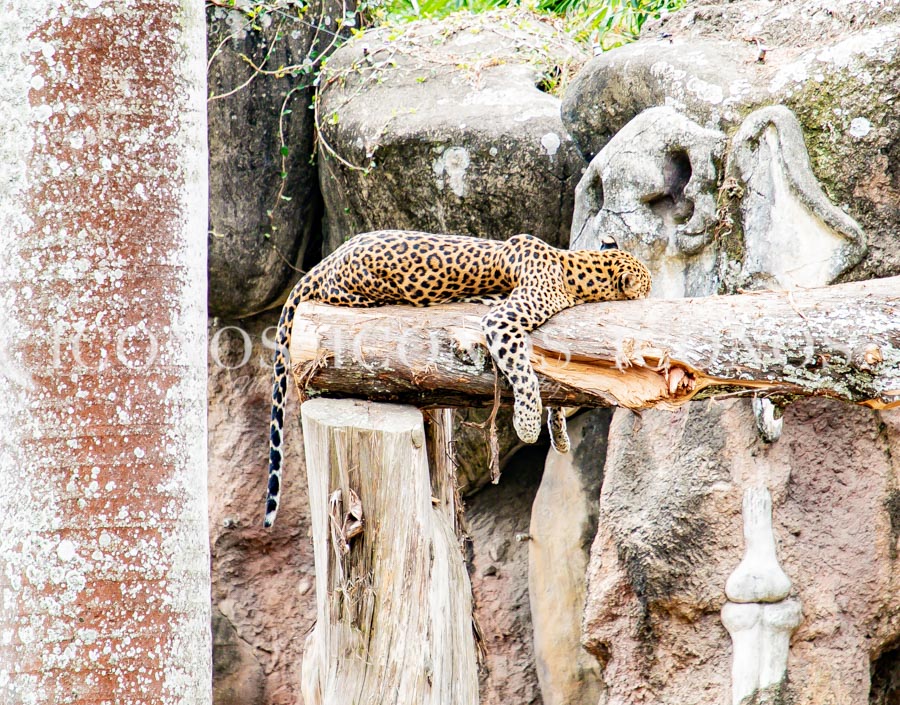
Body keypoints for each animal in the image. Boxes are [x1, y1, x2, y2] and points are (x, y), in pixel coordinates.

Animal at [264, 230, 651, 527]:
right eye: (646, 286)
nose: (651, 294)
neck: (575, 264)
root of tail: (324, 261)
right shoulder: (503, 321)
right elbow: (525, 374)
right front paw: (527, 426)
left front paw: (558, 433)